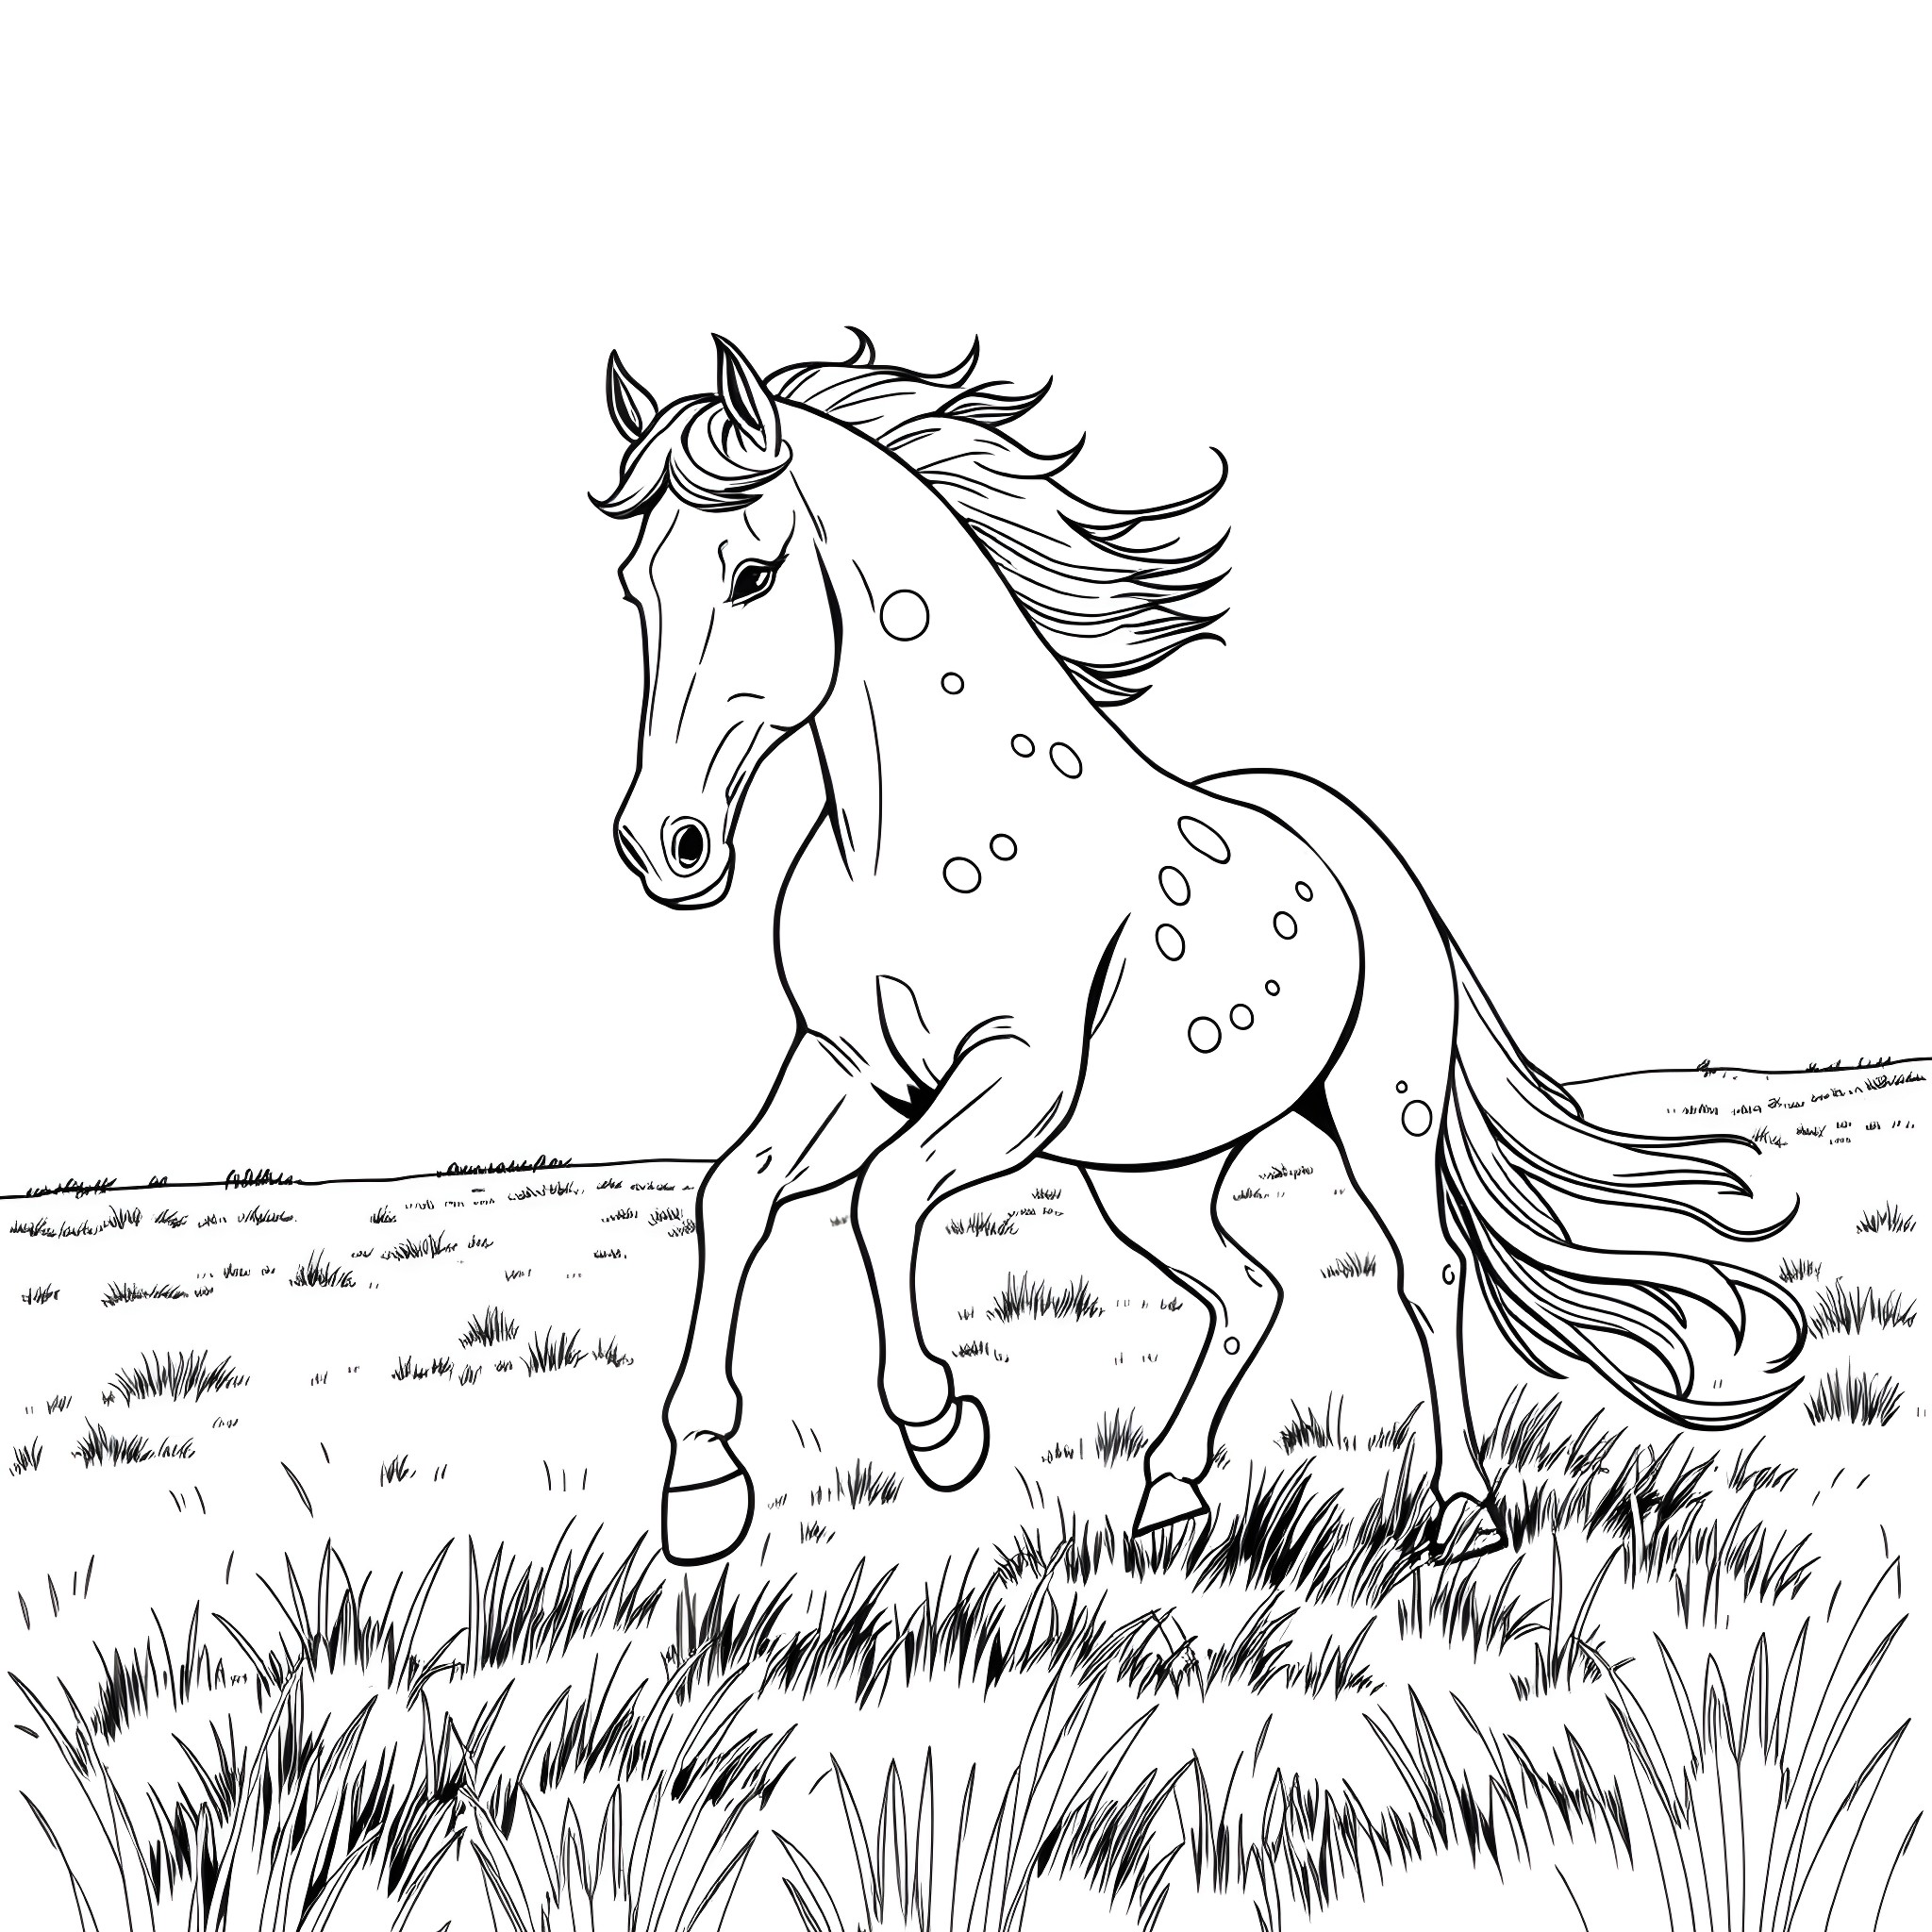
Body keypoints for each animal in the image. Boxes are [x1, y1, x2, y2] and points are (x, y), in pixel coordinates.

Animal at [594, 331, 1804, 1567]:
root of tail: (1380, 862)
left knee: (1426, 1273)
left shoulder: (1015, 1076)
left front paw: (941, 1428)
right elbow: (731, 1193)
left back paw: (1459, 1511)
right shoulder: (850, 1066)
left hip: (1382, 1109)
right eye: (633, 583)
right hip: (1157, 1174)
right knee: (1248, 1290)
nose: (665, 845)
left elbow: (881, 1198)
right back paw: (1168, 1491)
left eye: (752, 574)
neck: (903, 835)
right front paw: (701, 1483)